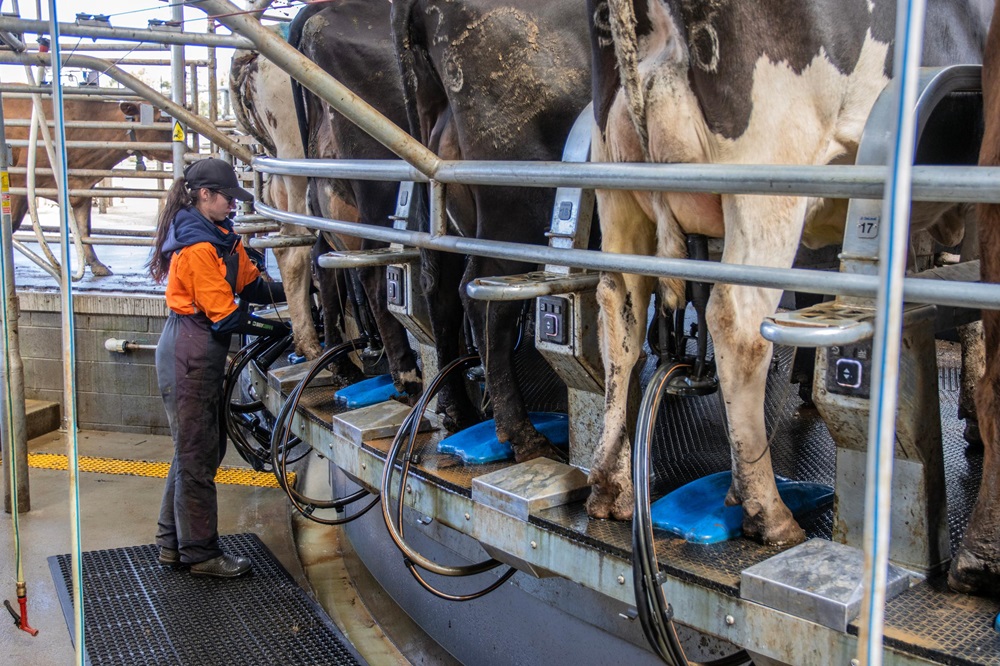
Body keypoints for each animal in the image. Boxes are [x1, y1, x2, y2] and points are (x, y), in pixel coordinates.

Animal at [2, 88, 172, 274]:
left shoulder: (83, 187)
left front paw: (96, 263)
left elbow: (84, 229)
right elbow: (12, 223)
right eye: (162, 119)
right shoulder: (20, 182)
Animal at [584, 0, 992, 540]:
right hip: (767, 182)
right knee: (736, 324)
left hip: (617, 188)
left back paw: (611, 487)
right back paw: (767, 509)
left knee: (620, 309)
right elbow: (976, 313)